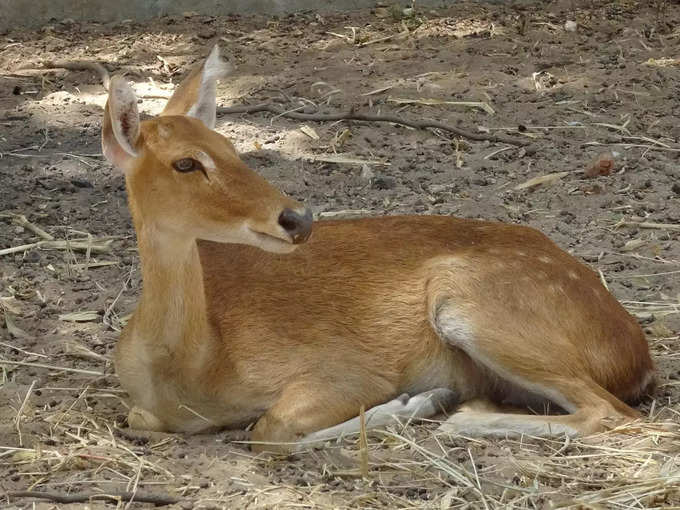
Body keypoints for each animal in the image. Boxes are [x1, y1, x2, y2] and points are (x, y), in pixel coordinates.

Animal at [101, 46, 652, 454]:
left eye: (232, 148)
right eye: (186, 163)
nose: (297, 218)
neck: (193, 370)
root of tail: (638, 357)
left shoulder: (343, 370)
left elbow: (269, 431)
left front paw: (416, 402)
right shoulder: (142, 408)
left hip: (476, 308)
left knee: (611, 412)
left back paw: (459, 416)